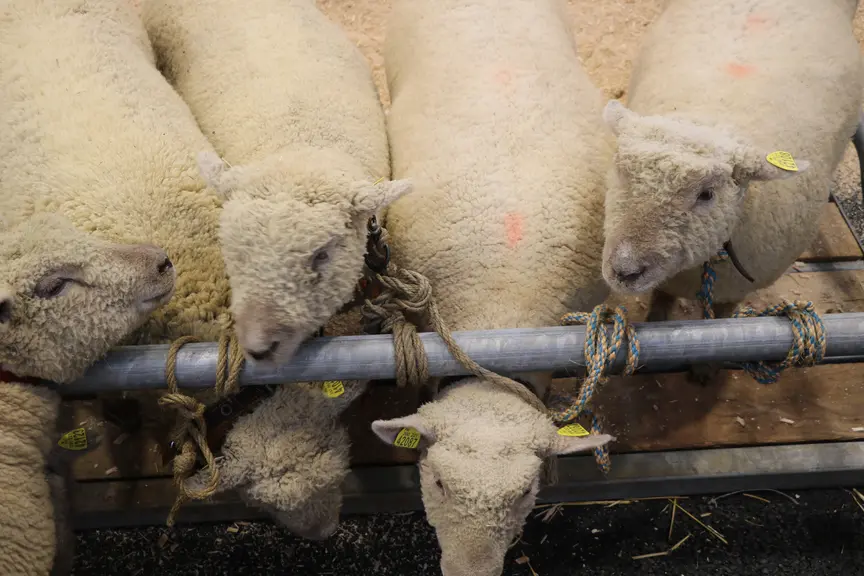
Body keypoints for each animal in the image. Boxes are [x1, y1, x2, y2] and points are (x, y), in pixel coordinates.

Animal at [599, 0, 863, 323]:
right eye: (620, 173)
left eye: (706, 195)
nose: (625, 270)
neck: (710, 118)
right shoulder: (668, 284)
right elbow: (659, 309)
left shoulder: (735, 290)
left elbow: (723, 316)